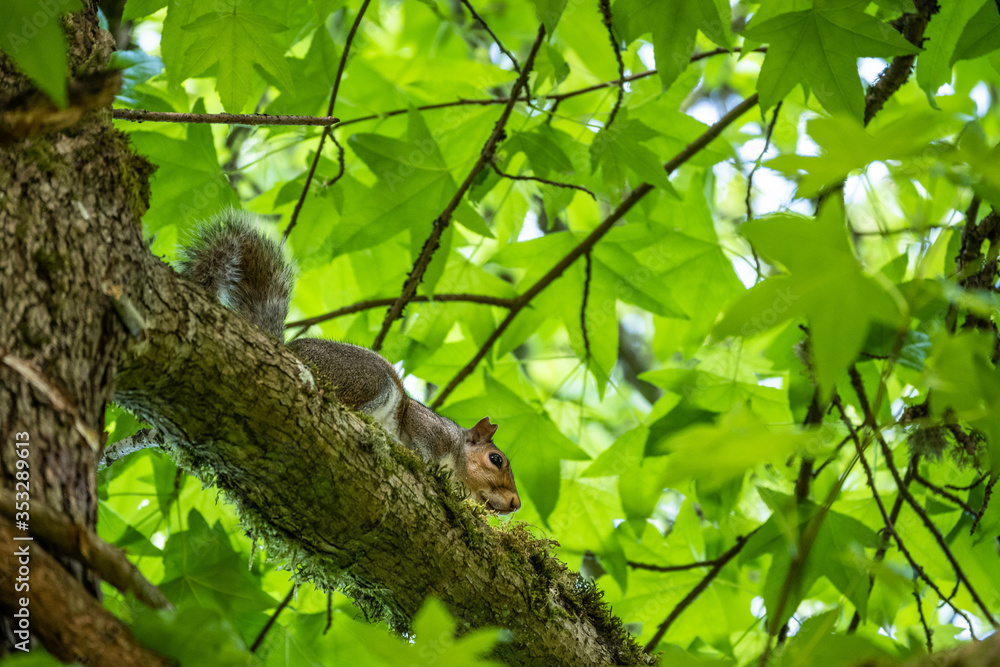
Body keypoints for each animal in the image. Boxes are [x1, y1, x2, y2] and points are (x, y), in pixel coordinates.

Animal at [181, 211, 524, 516]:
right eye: (496, 459)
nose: (515, 504)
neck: (454, 448)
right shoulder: (425, 429)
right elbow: (420, 447)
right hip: (369, 379)